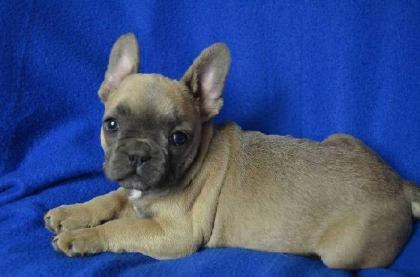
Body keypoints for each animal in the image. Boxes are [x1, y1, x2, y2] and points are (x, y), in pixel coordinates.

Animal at [44, 32, 418, 268]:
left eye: (179, 138)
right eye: (111, 125)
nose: (138, 154)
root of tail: (398, 185)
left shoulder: (173, 234)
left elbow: (123, 228)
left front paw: (81, 238)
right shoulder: (133, 192)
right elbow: (110, 198)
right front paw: (70, 213)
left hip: (342, 253)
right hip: (342, 137)